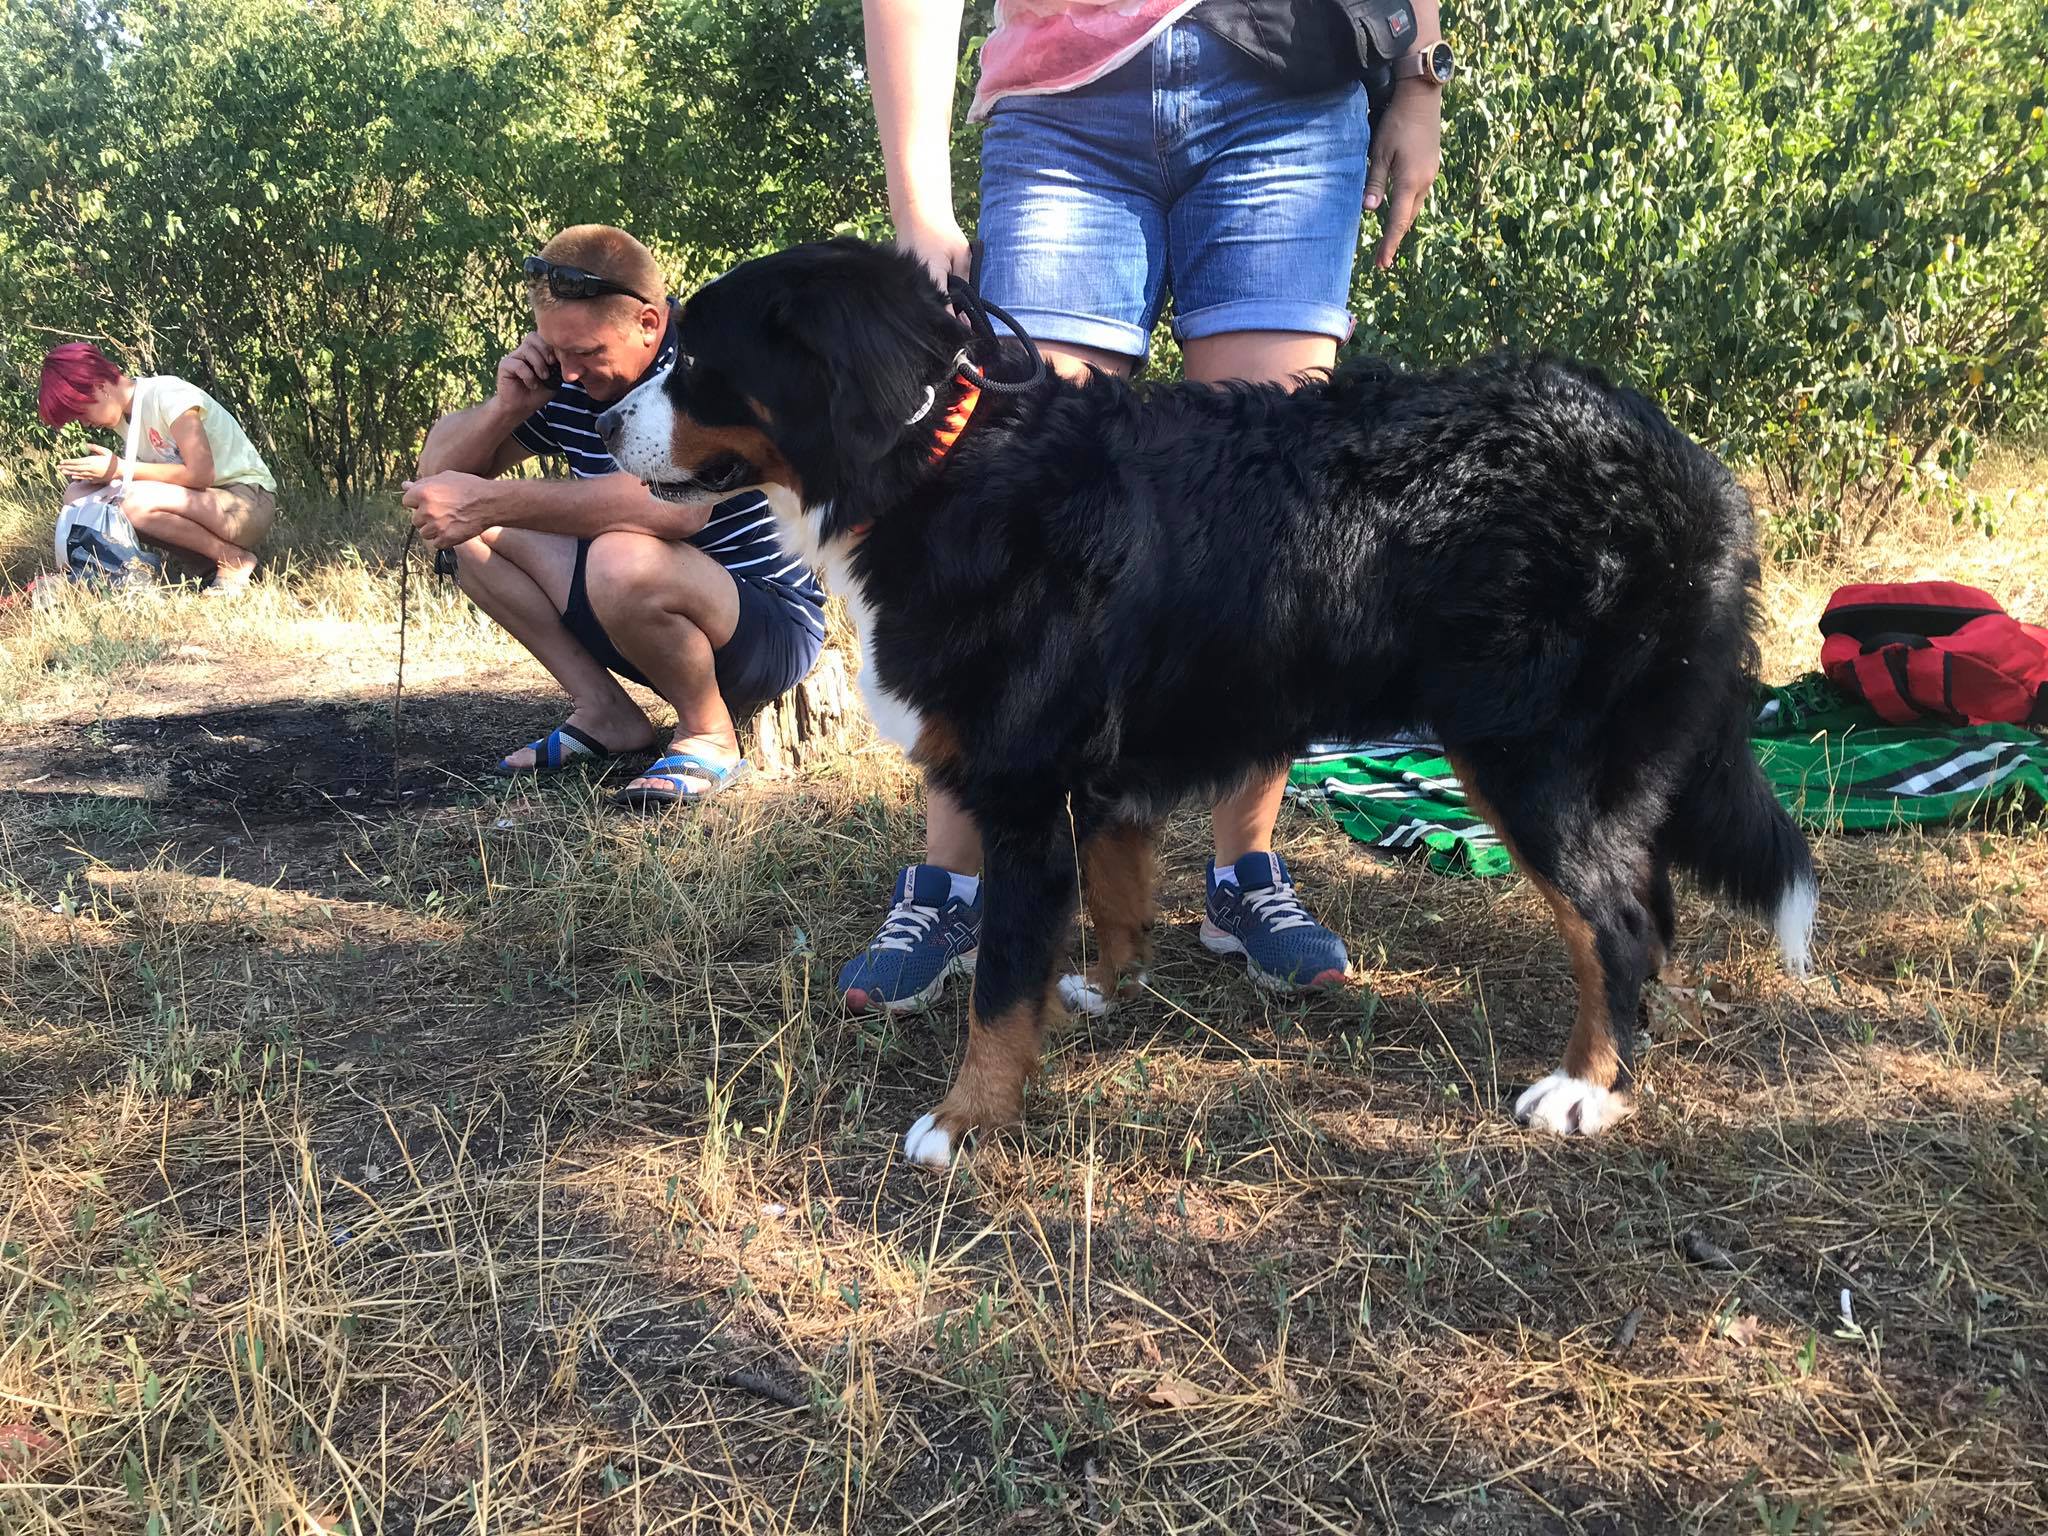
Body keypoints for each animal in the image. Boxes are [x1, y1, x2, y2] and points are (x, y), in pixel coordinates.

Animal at [599, 238, 1818, 1167]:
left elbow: (999, 982)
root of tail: (1689, 464)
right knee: (1643, 908)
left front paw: (966, 1121)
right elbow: (1112, 888)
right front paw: (1103, 986)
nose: (603, 426)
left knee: (1611, 924)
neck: (941, 465)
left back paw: (1586, 1087)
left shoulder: (1021, 790)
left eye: (695, 359)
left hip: (1527, 757)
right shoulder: (1098, 776)